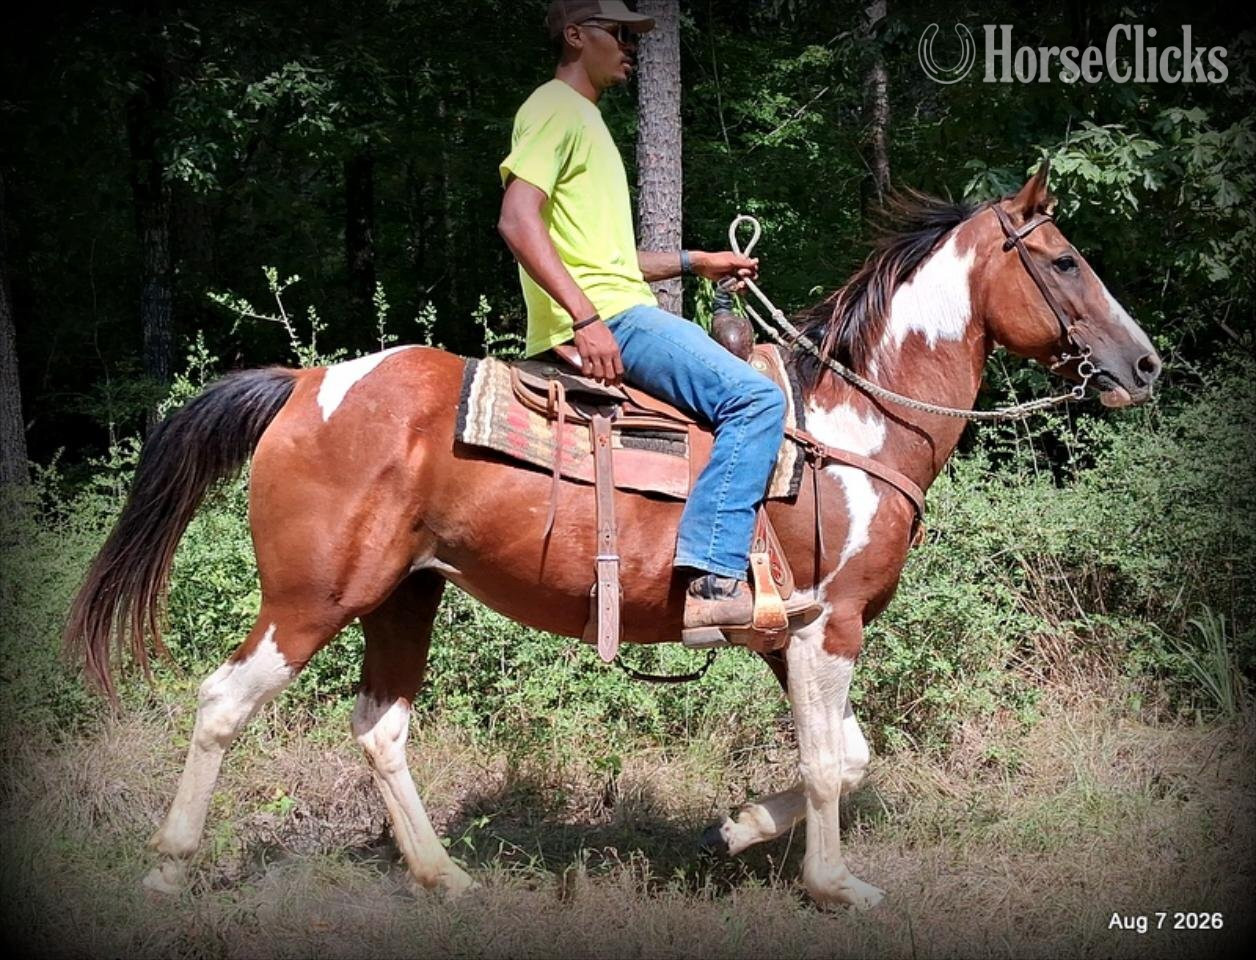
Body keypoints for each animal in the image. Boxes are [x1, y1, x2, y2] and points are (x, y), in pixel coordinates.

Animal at [64, 162, 1161, 910]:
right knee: (221, 704)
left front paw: (738, 828)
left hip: (404, 595)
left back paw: (444, 876)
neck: (853, 423)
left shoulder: (792, 629)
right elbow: (827, 764)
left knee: (379, 729)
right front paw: (832, 884)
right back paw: (170, 869)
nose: (1143, 364)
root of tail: (305, 385)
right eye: (1064, 260)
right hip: (311, 598)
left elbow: (847, 756)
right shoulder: (834, 622)